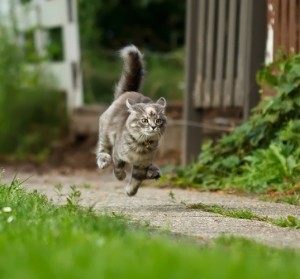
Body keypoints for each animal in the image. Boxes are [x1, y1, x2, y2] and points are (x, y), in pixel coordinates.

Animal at [96, 44, 166, 197]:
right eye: (144, 120)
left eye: (158, 120)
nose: (153, 127)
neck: (141, 146)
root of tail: (128, 92)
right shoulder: (118, 154)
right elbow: (118, 168)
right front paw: (121, 176)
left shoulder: (142, 164)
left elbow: (137, 179)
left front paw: (131, 191)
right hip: (105, 135)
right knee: (102, 150)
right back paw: (104, 161)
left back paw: (153, 172)